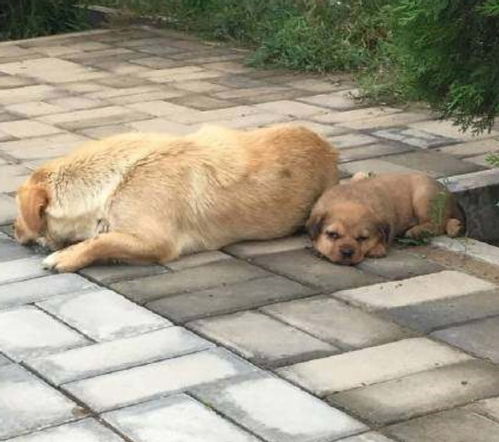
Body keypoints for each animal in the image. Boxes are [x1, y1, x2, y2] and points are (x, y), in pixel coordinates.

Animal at [14, 122, 340, 272]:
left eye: (18, 212)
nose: (13, 230)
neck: (120, 176)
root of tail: (329, 150)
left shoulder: (158, 242)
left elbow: (101, 241)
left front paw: (65, 256)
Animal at [306, 171, 466, 264]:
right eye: (332, 234)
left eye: (362, 238)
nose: (347, 252)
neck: (350, 199)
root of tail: (448, 193)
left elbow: (384, 238)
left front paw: (377, 249)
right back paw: (455, 227)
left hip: (424, 197)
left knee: (437, 223)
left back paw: (417, 231)